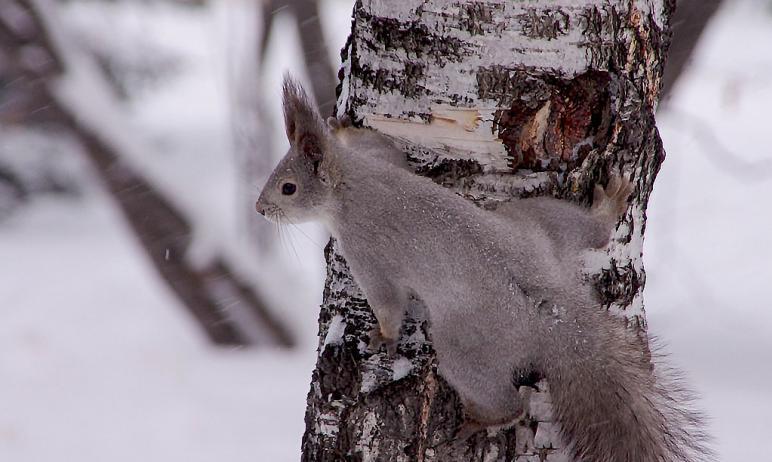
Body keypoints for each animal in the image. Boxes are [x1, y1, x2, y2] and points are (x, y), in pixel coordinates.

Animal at [256, 76, 708, 462]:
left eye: (288, 188)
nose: (260, 209)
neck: (350, 184)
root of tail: (556, 315)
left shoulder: (366, 250)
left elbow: (387, 301)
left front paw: (383, 335)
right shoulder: (381, 161)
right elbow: (387, 149)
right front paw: (344, 128)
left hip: (465, 348)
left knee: (508, 403)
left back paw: (482, 419)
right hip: (536, 222)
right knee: (592, 233)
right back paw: (608, 206)